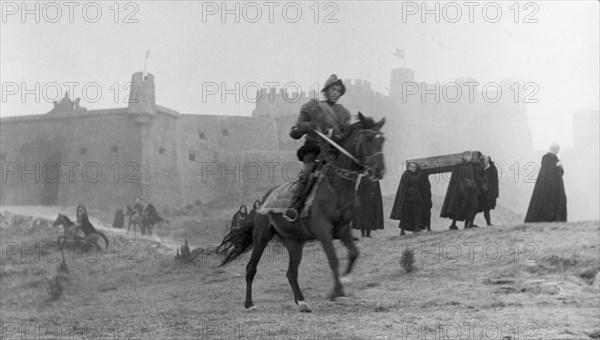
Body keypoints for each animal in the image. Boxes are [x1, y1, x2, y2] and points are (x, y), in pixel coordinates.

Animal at [218, 113, 386, 312]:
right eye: (368, 138)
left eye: (382, 140)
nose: (379, 171)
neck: (337, 187)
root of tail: (264, 201)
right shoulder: (323, 230)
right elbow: (333, 259)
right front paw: (337, 293)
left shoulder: (343, 229)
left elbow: (354, 253)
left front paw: (343, 282)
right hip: (261, 237)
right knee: (251, 268)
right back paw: (249, 303)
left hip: (295, 242)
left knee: (291, 272)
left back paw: (301, 301)